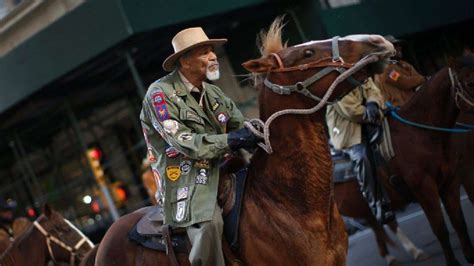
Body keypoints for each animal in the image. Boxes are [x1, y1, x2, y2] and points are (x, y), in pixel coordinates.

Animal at [336, 56, 474, 266]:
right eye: (469, 82)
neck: (421, 133)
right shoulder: (425, 189)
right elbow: (440, 229)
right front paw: (453, 262)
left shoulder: (449, 183)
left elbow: (460, 223)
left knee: (381, 224)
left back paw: (405, 253)